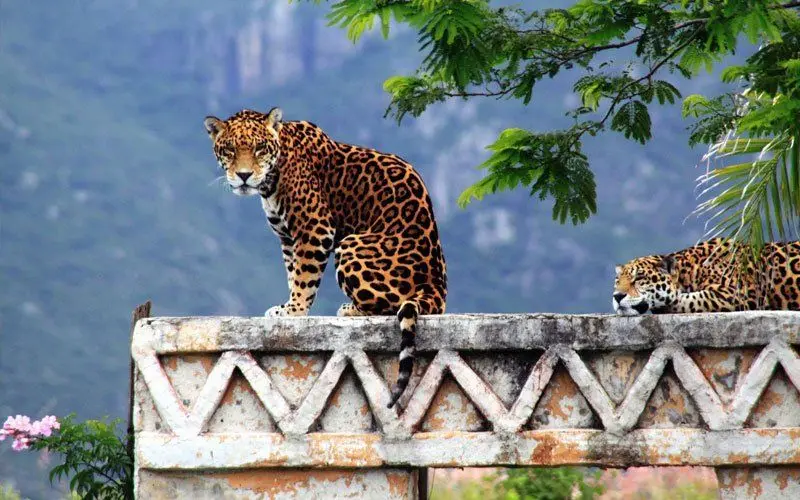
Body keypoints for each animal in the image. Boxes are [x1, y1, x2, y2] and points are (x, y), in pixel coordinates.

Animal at [203, 107, 447, 407]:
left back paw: (349, 309)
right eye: (230, 150)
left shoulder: (314, 229)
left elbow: (305, 277)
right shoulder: (288, 239)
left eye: (260, 149)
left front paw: (295, 312)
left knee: (391, 304)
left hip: (351, 245)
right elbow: (293, 273)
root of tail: (435, 286)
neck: (273, 178)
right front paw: (288, 307)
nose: (244, 175)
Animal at [613, 237, 800, 315]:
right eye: (617, 281)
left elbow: (689, 300)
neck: (690, 271)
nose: (617, 296)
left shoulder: (736, 294)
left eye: (639, 278)